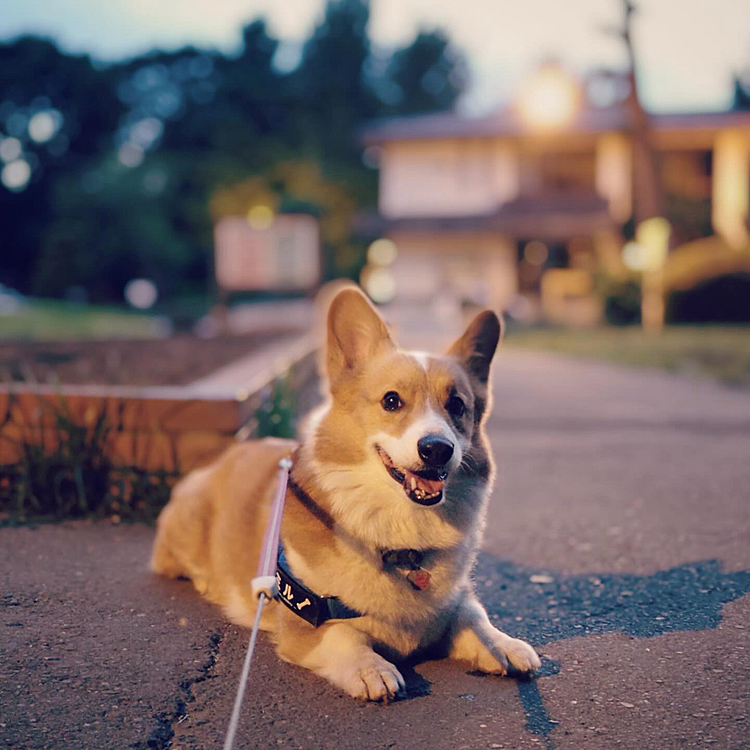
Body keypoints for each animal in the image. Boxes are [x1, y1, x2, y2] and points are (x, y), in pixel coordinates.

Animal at [153, 284, 540, 704]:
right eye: (391, 401)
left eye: (457, 405)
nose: (437, 448)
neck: (402, 537)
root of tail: (228, 454)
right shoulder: (306, 622)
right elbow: (344, 635)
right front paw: (372, 670)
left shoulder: (455, 599)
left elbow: (475, 618)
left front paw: (504, 645)